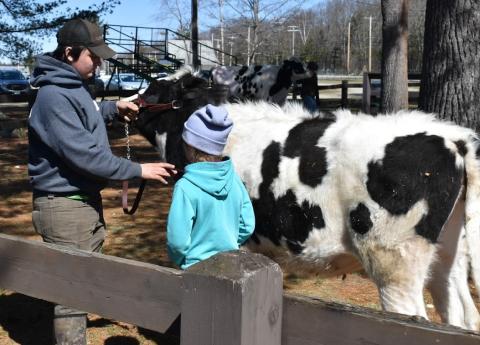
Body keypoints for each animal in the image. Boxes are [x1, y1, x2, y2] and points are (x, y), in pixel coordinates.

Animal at [134, 66, 480, 328]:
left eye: (152, 91)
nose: (128, 106)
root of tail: (454, 138)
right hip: (449, 253)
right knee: (462, 315)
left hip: (394, 263)